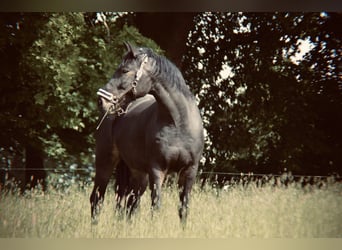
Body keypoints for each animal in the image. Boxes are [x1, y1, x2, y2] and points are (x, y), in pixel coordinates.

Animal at [89, 42, 204, 223]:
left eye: (125, 70)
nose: (101, 100)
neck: (179, 124)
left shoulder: (190, 171)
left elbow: (183, 209)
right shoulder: (157, 170)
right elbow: (156, 207)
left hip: (137, 173)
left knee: (130, 204)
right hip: (105, 163)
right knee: (97, 198)